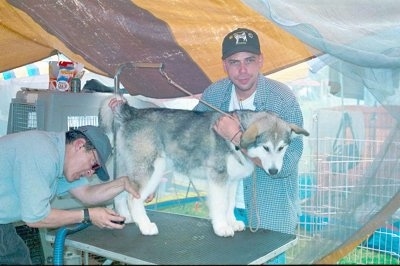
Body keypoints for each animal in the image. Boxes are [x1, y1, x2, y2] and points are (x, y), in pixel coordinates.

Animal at [97, 95, 310, 237]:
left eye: (282, 147)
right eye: (266, 147)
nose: (274, 171)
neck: (235, 139)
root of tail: (131, 112)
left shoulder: (232, 181)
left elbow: (230, 204)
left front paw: (232, 222)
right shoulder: (218, 177)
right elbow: (220, 204)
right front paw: (222, 227)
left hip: (128, 168)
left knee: (121, 191)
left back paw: (127, 218)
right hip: (152, 169)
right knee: (133, 198)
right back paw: (145, 225)